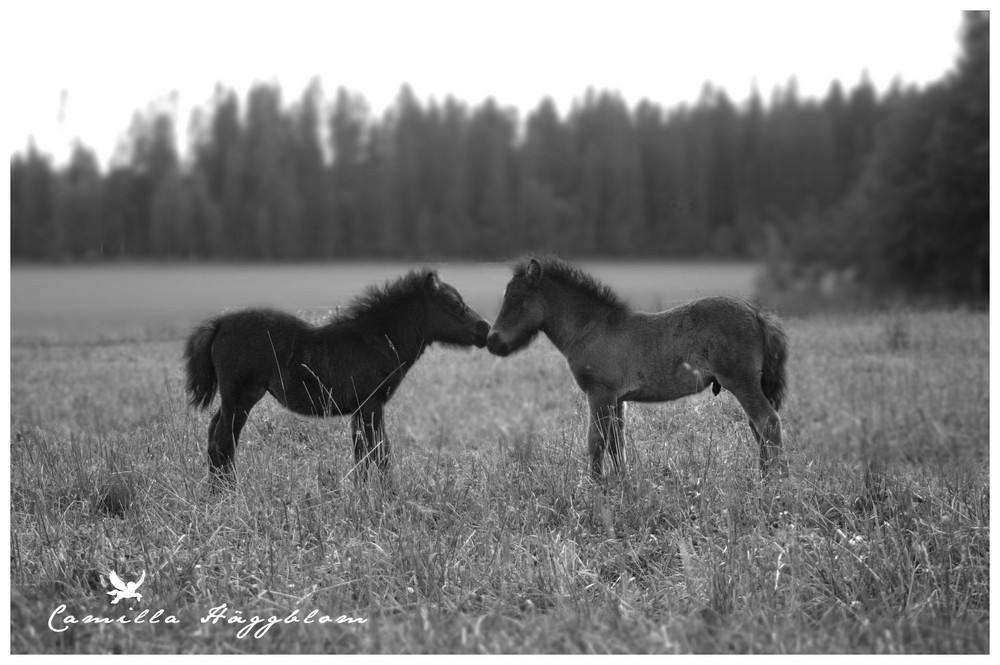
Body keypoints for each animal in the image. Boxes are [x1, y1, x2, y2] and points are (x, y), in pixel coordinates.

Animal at [185, 268, 492, 482]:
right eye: (454, 303)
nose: (485, 329)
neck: (376, 339)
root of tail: (219, 323)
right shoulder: (371, 403)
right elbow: (380, 452)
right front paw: (386, 495)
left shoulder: (361, 408)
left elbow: (364, 453)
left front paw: (364, 492)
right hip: (241, 396)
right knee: (224, 440)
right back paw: (229, 491)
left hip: (234, 399)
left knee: (214, 433)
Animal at [486, 256, 788, 480]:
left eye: (515, 300)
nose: (492, 342)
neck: (591, 328)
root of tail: (755, 313)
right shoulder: (617, 398)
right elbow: (616, 442)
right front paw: (622, 483)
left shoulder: (599, 393)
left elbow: (595, 440)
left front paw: (595, 487)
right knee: (757, 426)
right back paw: (764, 476)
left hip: (741, 382)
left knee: (768, 422)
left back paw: (775, 481)